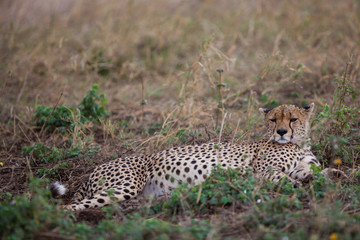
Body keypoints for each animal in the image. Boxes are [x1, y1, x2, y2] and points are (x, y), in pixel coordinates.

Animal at [50, 103, 340, 210]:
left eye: (293, 119)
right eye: (273, 120)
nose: (281, 132)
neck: (298, 144)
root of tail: (94, 170)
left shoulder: (300, 165)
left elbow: (313, 171)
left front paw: (334, 174)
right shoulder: (263, 172)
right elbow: (286, 178)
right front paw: (299, 186)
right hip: (125, 185)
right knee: (71, 206)